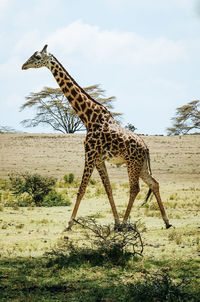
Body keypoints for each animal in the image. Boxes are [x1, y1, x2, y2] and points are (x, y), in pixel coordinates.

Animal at [22, 44, 172, 229]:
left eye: (37, 57)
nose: (23, 66)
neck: (88, 118)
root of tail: (146, 147)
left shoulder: (90, 154)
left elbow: (81, 189)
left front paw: (70, 223)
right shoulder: (99, 159)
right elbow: (108, 188)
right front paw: (115, 222)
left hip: (132, 163)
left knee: (135, 188)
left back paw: (126, 222)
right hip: (141, 165)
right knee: (154, 183)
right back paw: (166, 221)